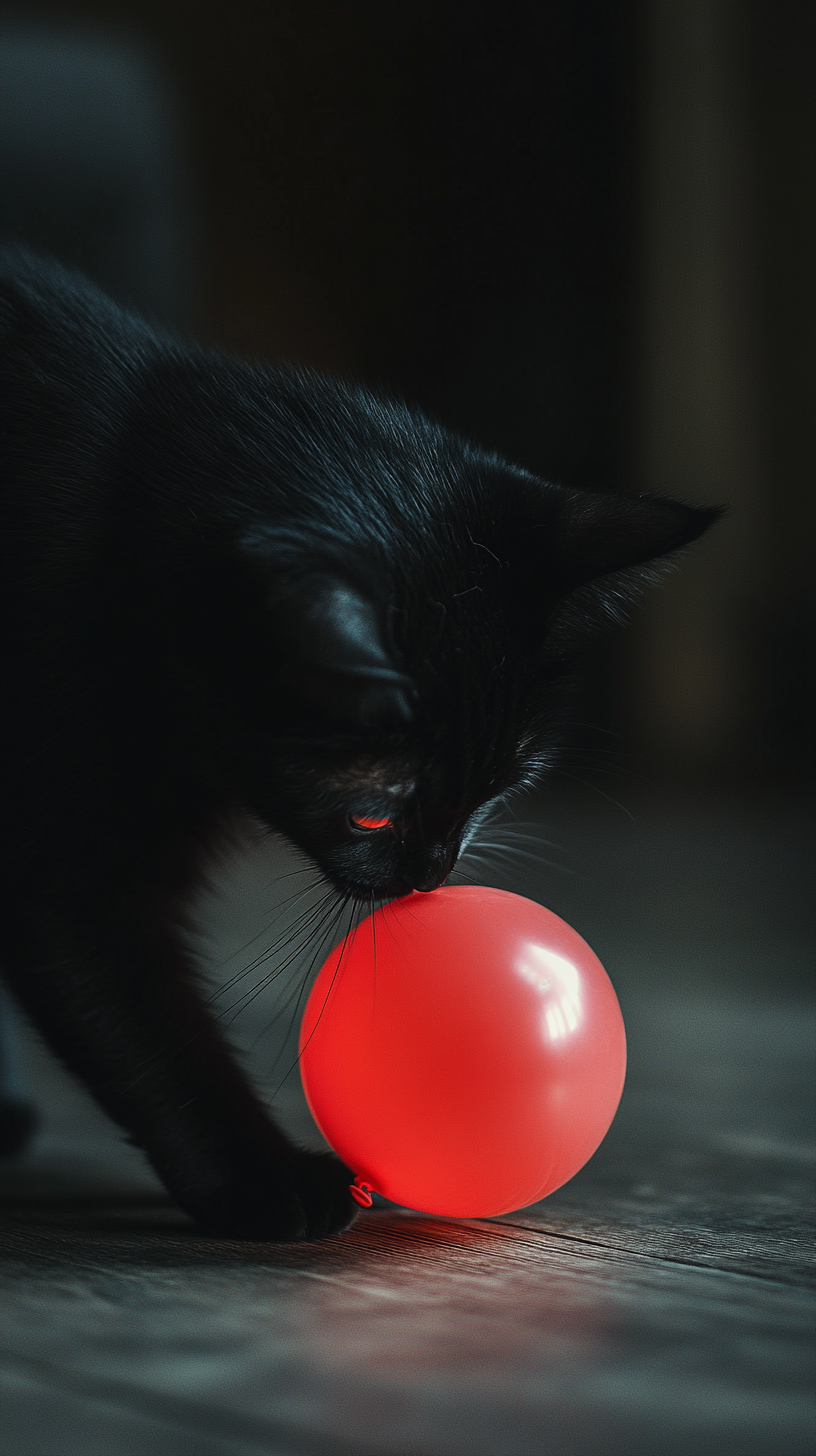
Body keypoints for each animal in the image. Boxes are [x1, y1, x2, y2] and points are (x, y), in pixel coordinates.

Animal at [0, 250, 714, 1240]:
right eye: (371, 816)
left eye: (501, 785)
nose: (432, 871)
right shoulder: (58, 849)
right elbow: (139, 1025)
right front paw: (266, 1178)